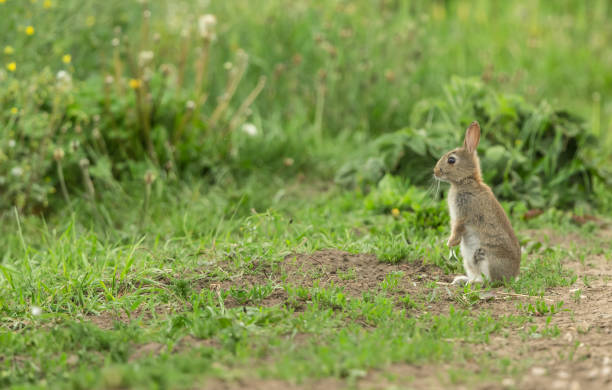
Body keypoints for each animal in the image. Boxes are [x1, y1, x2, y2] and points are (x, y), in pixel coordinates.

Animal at [430, 120, 520, 284]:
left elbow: (457, 228)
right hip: (469, 260)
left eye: (451, 160)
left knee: (490, 281)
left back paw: (472, 282)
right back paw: (461, 280)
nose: (435, 171)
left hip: (486, 258)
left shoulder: (463, 213)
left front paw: (450, 243)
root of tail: (512, 276)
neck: (466, 181)